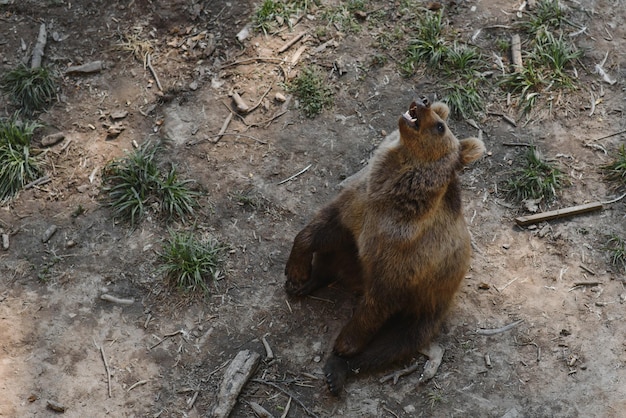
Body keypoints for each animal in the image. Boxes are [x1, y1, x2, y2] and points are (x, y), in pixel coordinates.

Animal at [282, 96, 482, 394]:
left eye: (440, 126)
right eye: (437, 112)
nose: (423, 100)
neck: (391, 198)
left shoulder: (405, 256)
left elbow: (378, 302)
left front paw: (345, 343)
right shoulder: (359, 209)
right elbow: (319, 229)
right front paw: (296, 271)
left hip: (427, 305)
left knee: (397, 342)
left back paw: (338, 369)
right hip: (354, 256)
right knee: (334, 258)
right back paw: (303, 284)